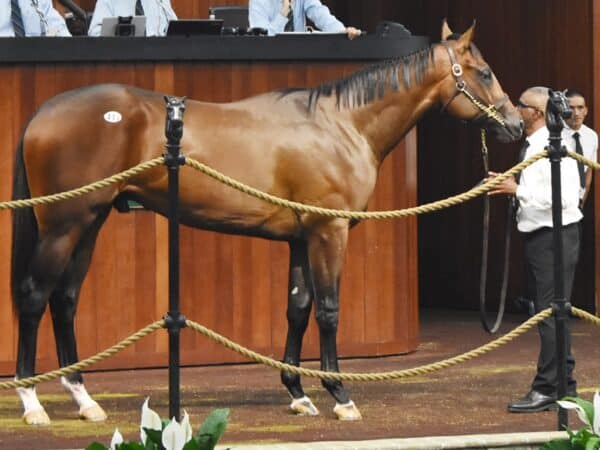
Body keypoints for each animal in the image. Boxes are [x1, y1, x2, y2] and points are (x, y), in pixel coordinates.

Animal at [11, 22, 524, 426]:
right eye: (484, 72)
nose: (517, 125)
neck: (341, 125)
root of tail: (42, 112)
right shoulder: (328, 232)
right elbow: (328, 310)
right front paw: (340, 395)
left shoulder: (300, 238)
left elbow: (297, 308)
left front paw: (298, 393)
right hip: (64, 226)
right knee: (35, 297)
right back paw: (31, 400)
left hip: (89, 222)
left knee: (65, 300)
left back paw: (84, 399)